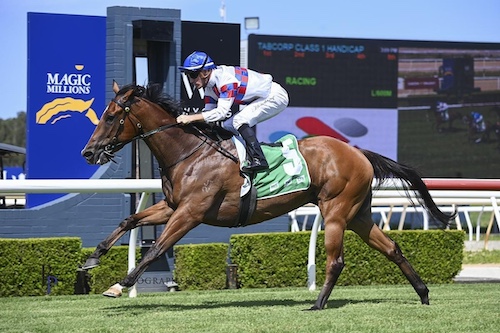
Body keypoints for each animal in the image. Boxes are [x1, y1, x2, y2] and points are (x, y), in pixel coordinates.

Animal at [80, 81, 456, 310]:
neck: (189, 153)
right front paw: (93, 258)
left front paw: (119, 284)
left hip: (336, 210)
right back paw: (423, 294)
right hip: (359, 215)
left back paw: (317, 303)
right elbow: (129, 219)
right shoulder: (173, 206)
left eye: (111, 116)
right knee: (392, 248)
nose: (89, 152)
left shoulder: (191, 212)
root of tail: (359, 152)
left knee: (336, 260)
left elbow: (157, 247)